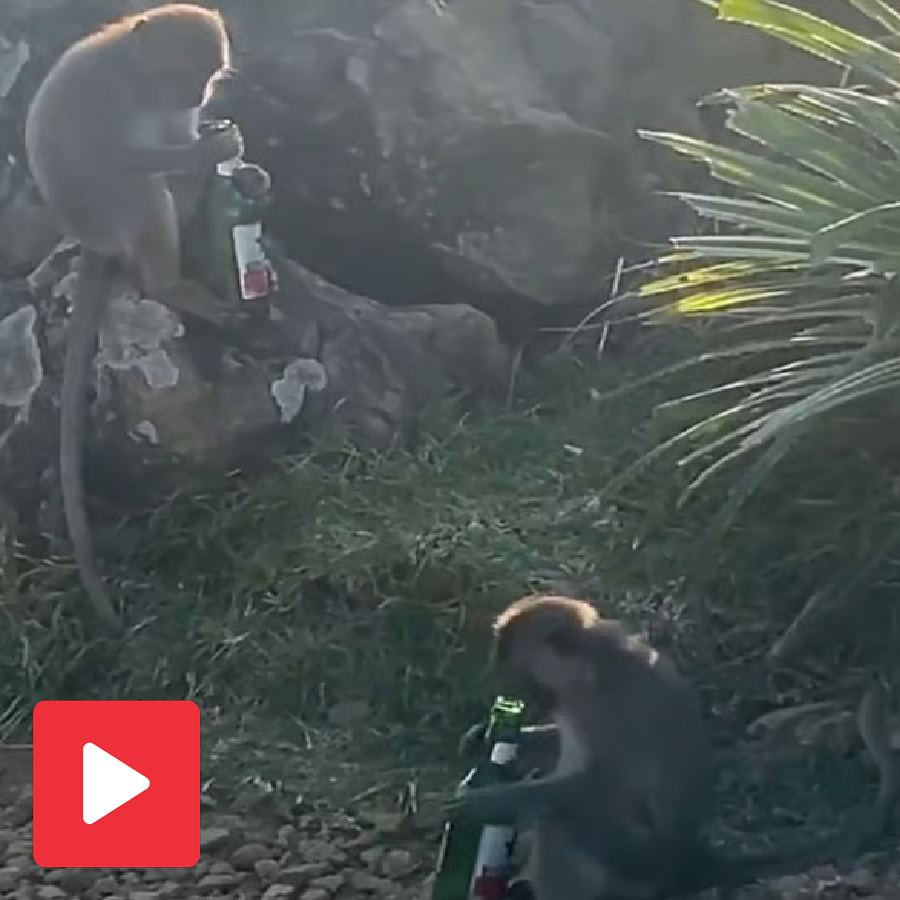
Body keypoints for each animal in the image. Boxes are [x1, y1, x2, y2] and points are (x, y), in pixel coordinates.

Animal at [24, 4, 244, 629]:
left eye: (207, 75)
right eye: (181, 73)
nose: (198, 95)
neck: (136, 73)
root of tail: (92, 240)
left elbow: (181, 139)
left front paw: (228, 157)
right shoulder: (105, 94)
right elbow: (120, 160)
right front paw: (207, 152)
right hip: (111, 213)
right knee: (142, 190)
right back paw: (171, 284)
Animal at [446, 595, 900, 900]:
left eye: (507, 659)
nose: (494, 678)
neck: (590, 670)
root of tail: (688, 859)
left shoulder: (617, 709)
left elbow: (599, 788)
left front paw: (487, 799)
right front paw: (489, 739)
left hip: (642, 864)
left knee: (564, 822)